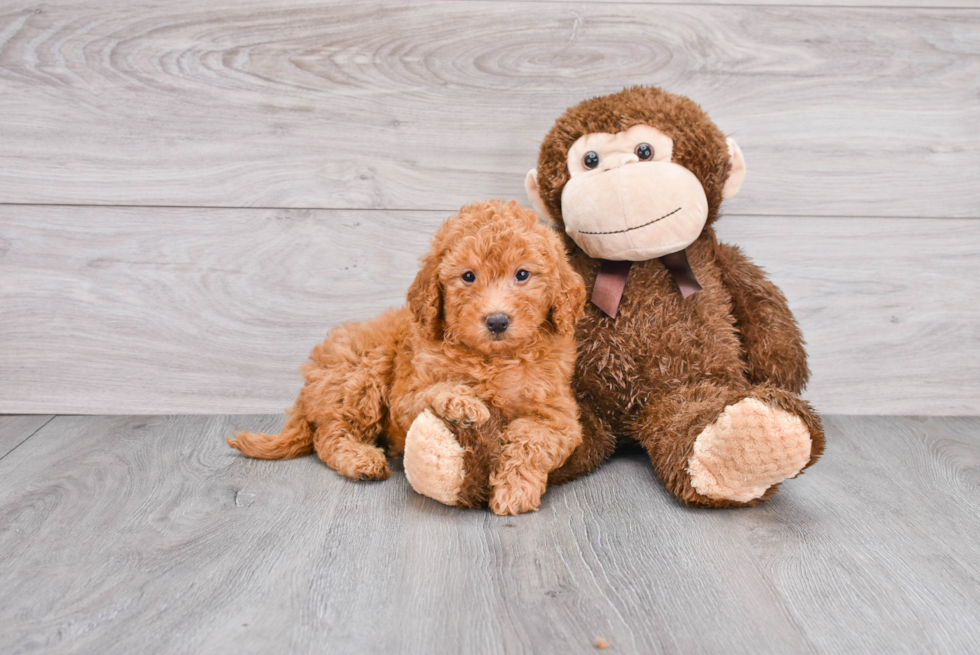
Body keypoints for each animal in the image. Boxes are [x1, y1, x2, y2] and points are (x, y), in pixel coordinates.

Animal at [226, 200, 584, 516]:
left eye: (522, 275)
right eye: (468, 277)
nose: (497, 321)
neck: (490, 359)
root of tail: (307, 390)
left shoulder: (559, 416)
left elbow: (531, 443)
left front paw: (515, 490)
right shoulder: (404, 398)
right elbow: (434, 390)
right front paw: (463, 402)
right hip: (362, 372)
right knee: (329, 436)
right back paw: (361, 460)